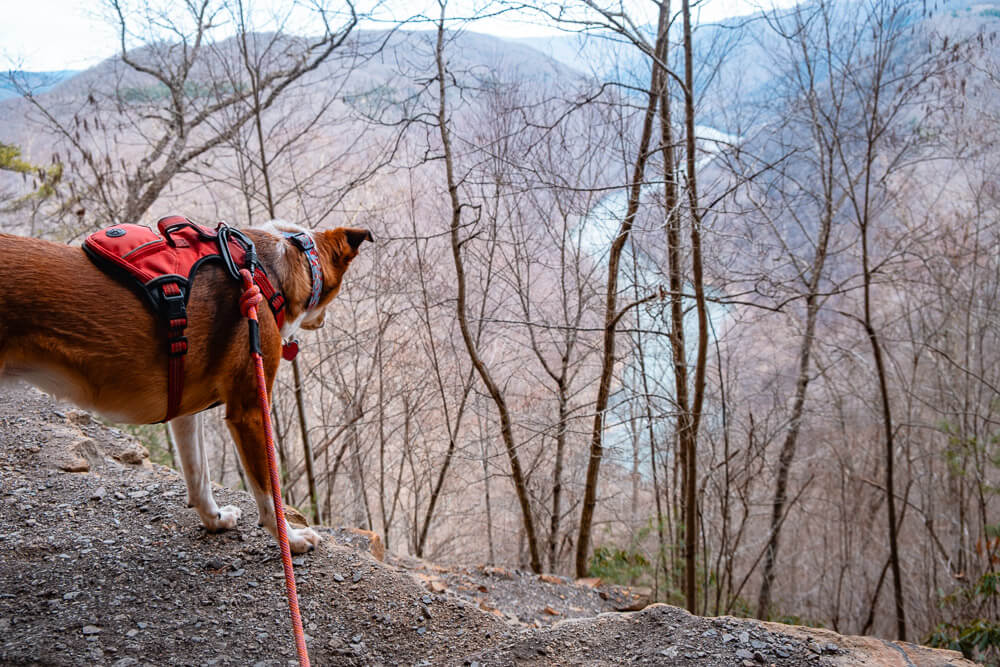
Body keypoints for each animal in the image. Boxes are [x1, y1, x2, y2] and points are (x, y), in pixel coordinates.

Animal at [0, 219, 374, 552]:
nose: (324, 321)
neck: (268, 269)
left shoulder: (184, 412)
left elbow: (198, 477)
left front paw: (215, 519)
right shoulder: (251, 411)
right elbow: (269, 495)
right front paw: (291, 541)